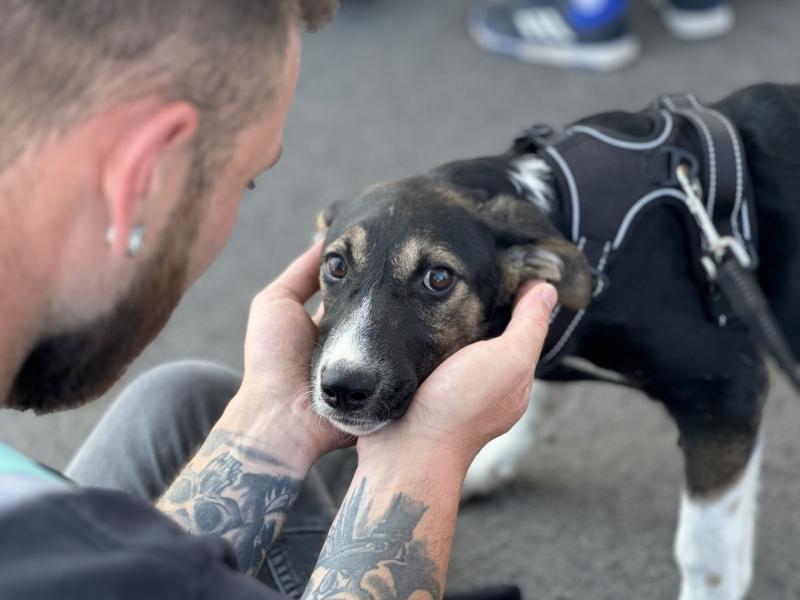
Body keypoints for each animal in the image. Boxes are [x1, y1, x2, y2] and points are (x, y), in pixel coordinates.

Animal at [308, 84, 800, 600]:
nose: (343, 388)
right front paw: (488, 463)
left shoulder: (727, 386)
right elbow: (536, 392)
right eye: (336, 265)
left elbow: (705, 548)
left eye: (438, 278)